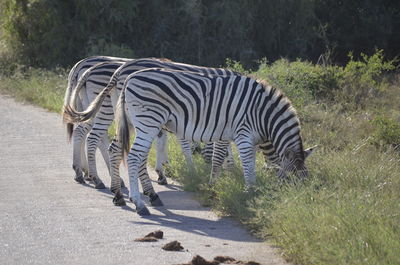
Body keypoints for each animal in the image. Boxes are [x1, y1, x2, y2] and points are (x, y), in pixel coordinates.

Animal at [62, 54, 130, 186]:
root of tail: (81, 64)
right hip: (102, 108)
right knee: (93, 136)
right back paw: (94, 176)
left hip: (83, 105)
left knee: (84, 133)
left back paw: (83, 172)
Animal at [113, 67, 316, 214]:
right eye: (290, 179)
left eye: (305, 180)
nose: (294, 206)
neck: (263, 115)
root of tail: (130, 77)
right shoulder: (243, 135)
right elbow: (247, 167)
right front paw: (250, 195)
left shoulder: (230, 136)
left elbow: (221, 160)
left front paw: (215, 188)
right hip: (148, 122)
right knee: (133, 157)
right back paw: (139, 203)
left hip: (136, 122)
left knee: (124, 153)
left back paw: (136, 196)